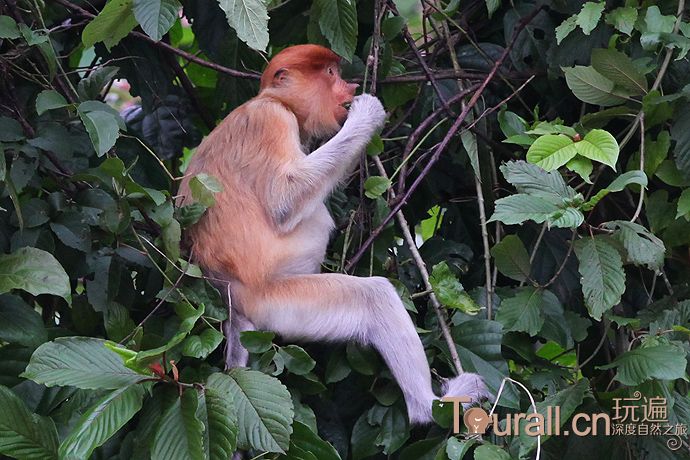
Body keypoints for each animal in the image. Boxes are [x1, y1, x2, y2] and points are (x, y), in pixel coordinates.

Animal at [177, 45, 490, 422]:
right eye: (329, 73)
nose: (349, 86)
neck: (276, 100)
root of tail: (229, 293)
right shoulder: (270, 120)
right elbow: (284, 201)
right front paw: (367, 111)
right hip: (277, 302)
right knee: (374, 297)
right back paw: (430, 407)